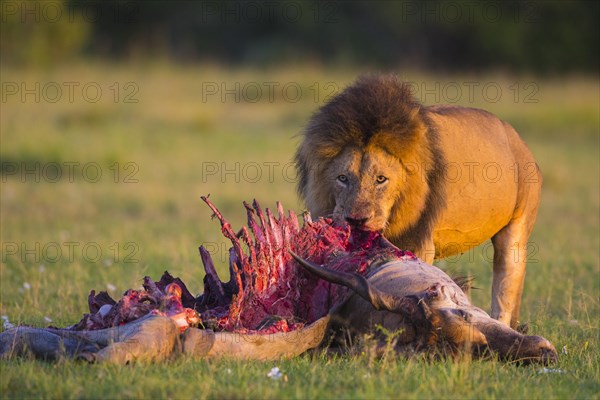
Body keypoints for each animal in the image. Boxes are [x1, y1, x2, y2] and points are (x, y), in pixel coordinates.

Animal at [296, 74, 544, 328]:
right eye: (342, 178)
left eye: (381, 179)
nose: (356, 220)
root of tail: (515, 137)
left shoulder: (420, 242)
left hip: (515, 233)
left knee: (505, 290)